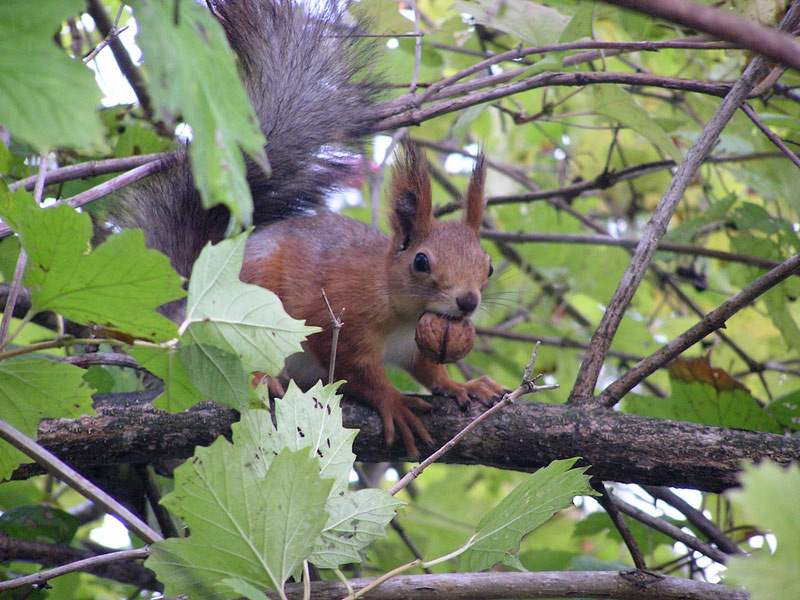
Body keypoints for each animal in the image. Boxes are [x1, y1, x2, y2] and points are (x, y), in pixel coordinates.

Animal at [106, 0, 504, 457]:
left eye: (489, 266)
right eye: (421, 262)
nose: (468, 301)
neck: (403, 311)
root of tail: (183, 310)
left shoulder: (414, 346)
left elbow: (430, 372)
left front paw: (462, 385)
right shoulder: (340, 318)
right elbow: (358, 370)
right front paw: (395, 402)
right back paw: (262, 379)